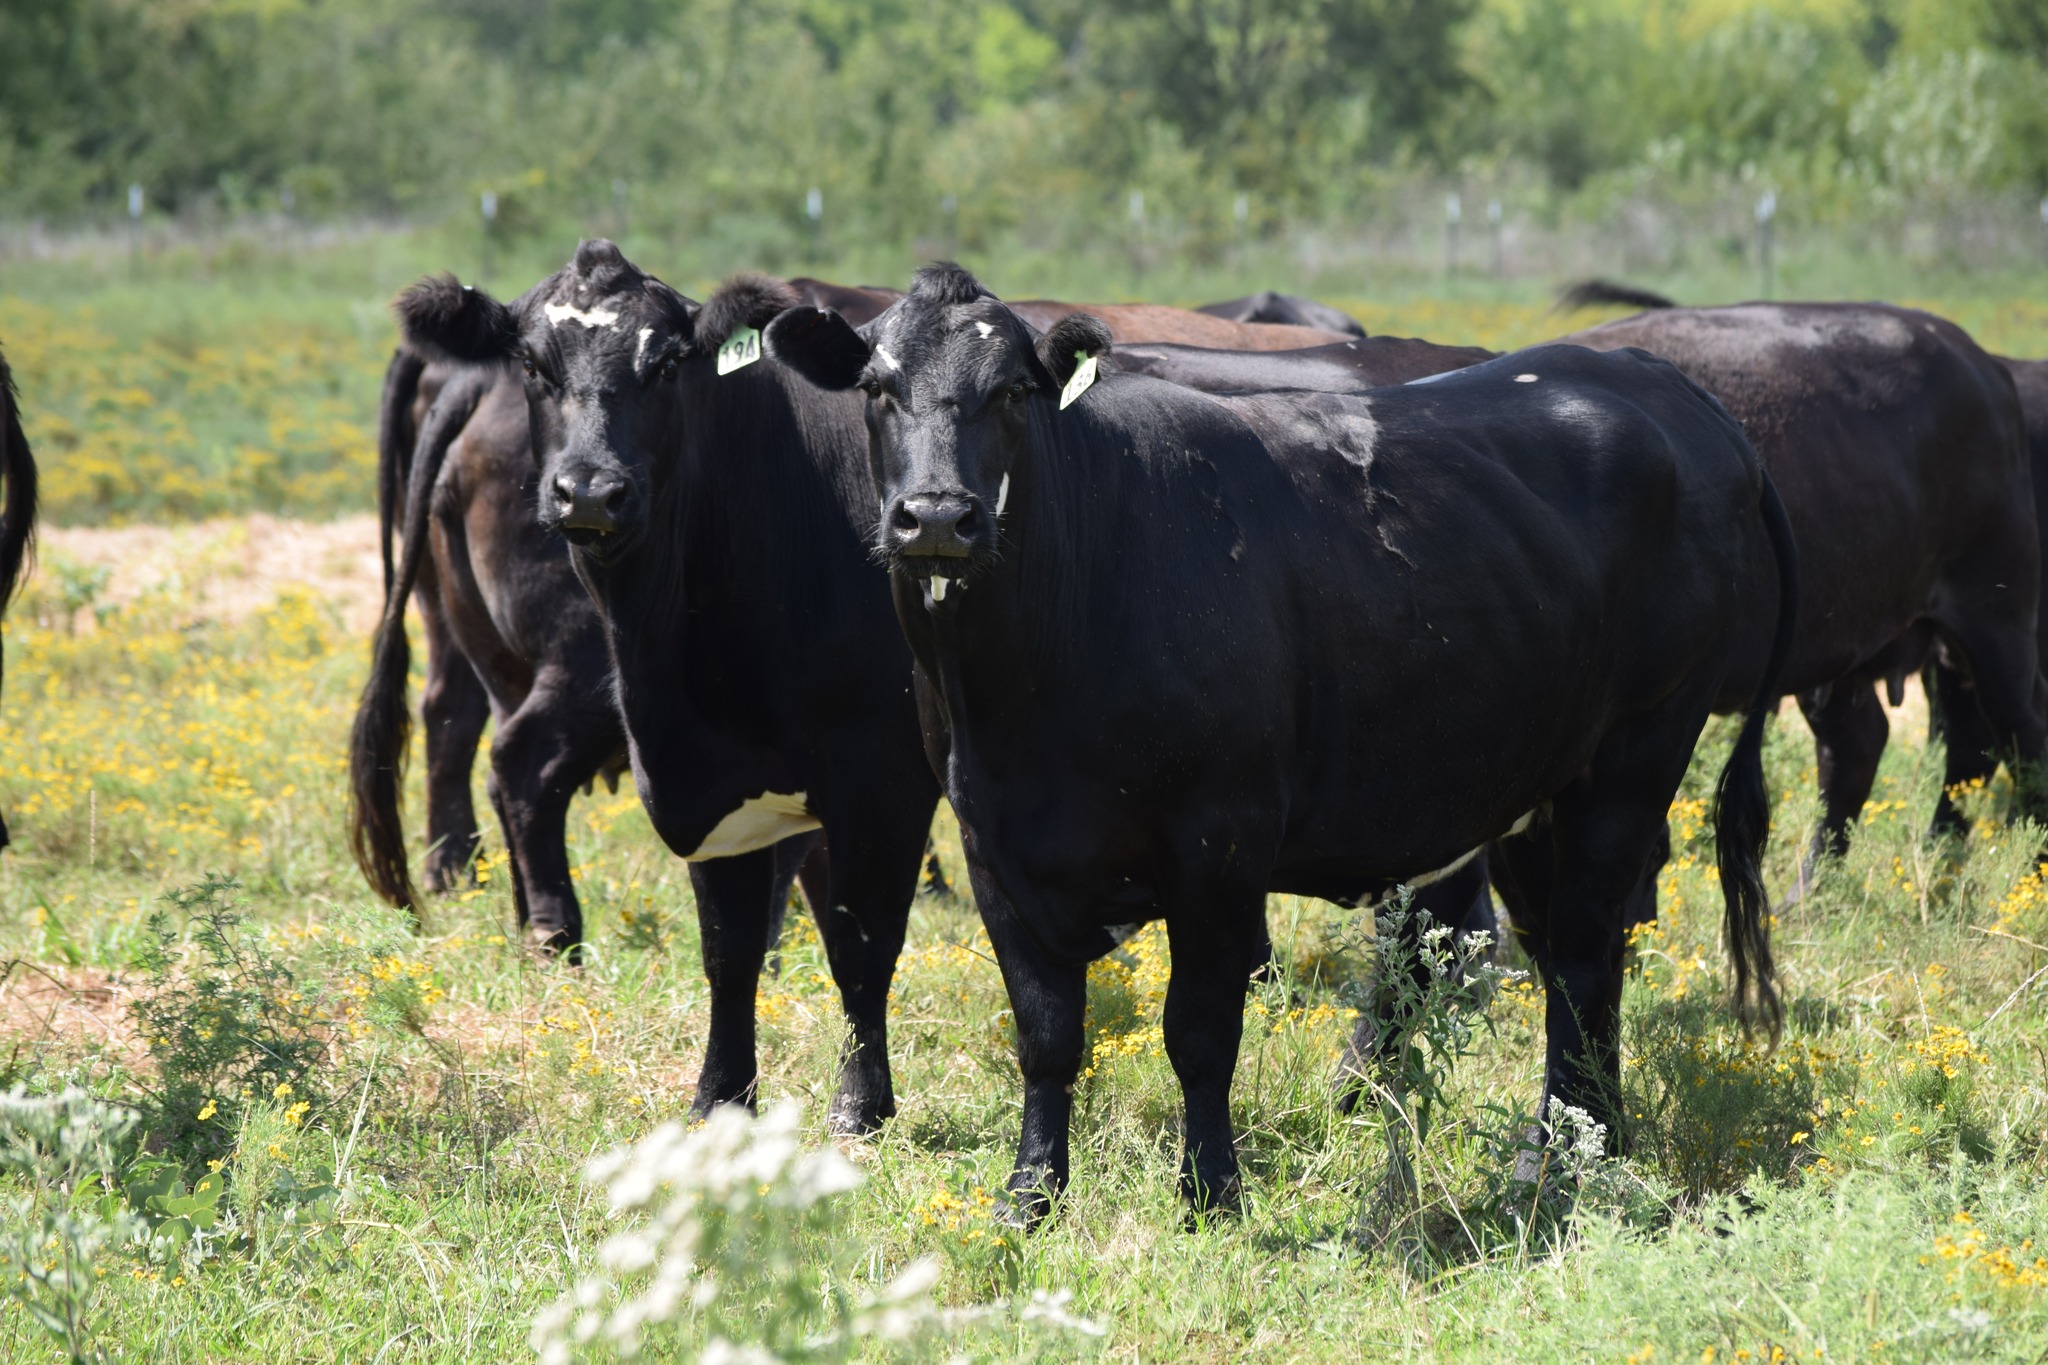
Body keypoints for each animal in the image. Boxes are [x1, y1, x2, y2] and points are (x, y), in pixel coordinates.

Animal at [391, 242, 942, 1129]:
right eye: (532, 362)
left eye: (668, 361)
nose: (588, 489)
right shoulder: (713, 780)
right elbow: (732, 947)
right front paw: (721, 1097)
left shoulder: (880, 773)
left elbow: (860, 940)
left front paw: (862, 1103)